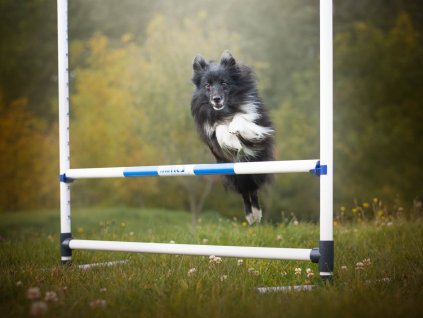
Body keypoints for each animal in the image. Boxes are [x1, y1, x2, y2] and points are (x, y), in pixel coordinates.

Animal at [191, 51, 274, 224]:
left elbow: (242, 116)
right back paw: (251, 215)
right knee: (245, 192)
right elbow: (218, 128)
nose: (216, 99)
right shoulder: (211, 133)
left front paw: (234, 128)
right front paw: (230, 139)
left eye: (224, 83)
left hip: (256, 168)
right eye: (207, 85)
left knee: (253, 189)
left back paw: (256, 214)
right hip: (233, 174)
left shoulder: (255, 120)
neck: (224, 111)